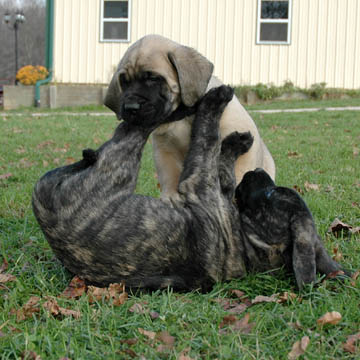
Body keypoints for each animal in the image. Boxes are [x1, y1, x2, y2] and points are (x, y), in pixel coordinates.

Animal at [33, 86, 253, 292]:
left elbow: (208, 139)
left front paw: (218, 110)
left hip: (121, 160)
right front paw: (237, 143)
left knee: (139, 125)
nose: (255, 174)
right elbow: (220, 157)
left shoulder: (198, 182)